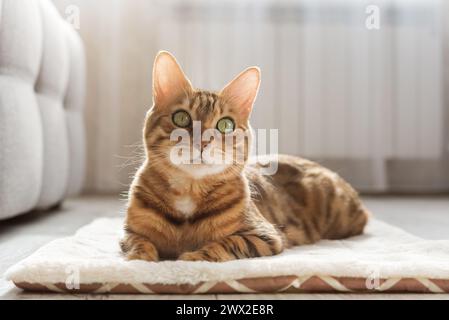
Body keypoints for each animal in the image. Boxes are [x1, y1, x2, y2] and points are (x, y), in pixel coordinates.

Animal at [120, 51, 368, 262]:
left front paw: (191, 257)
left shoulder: (263, 235)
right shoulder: (129, 232)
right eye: (181, 118)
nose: (203, 142)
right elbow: (138, 242)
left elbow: (225, 244)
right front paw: (140, 259)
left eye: (225, 125)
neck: (189, 191)